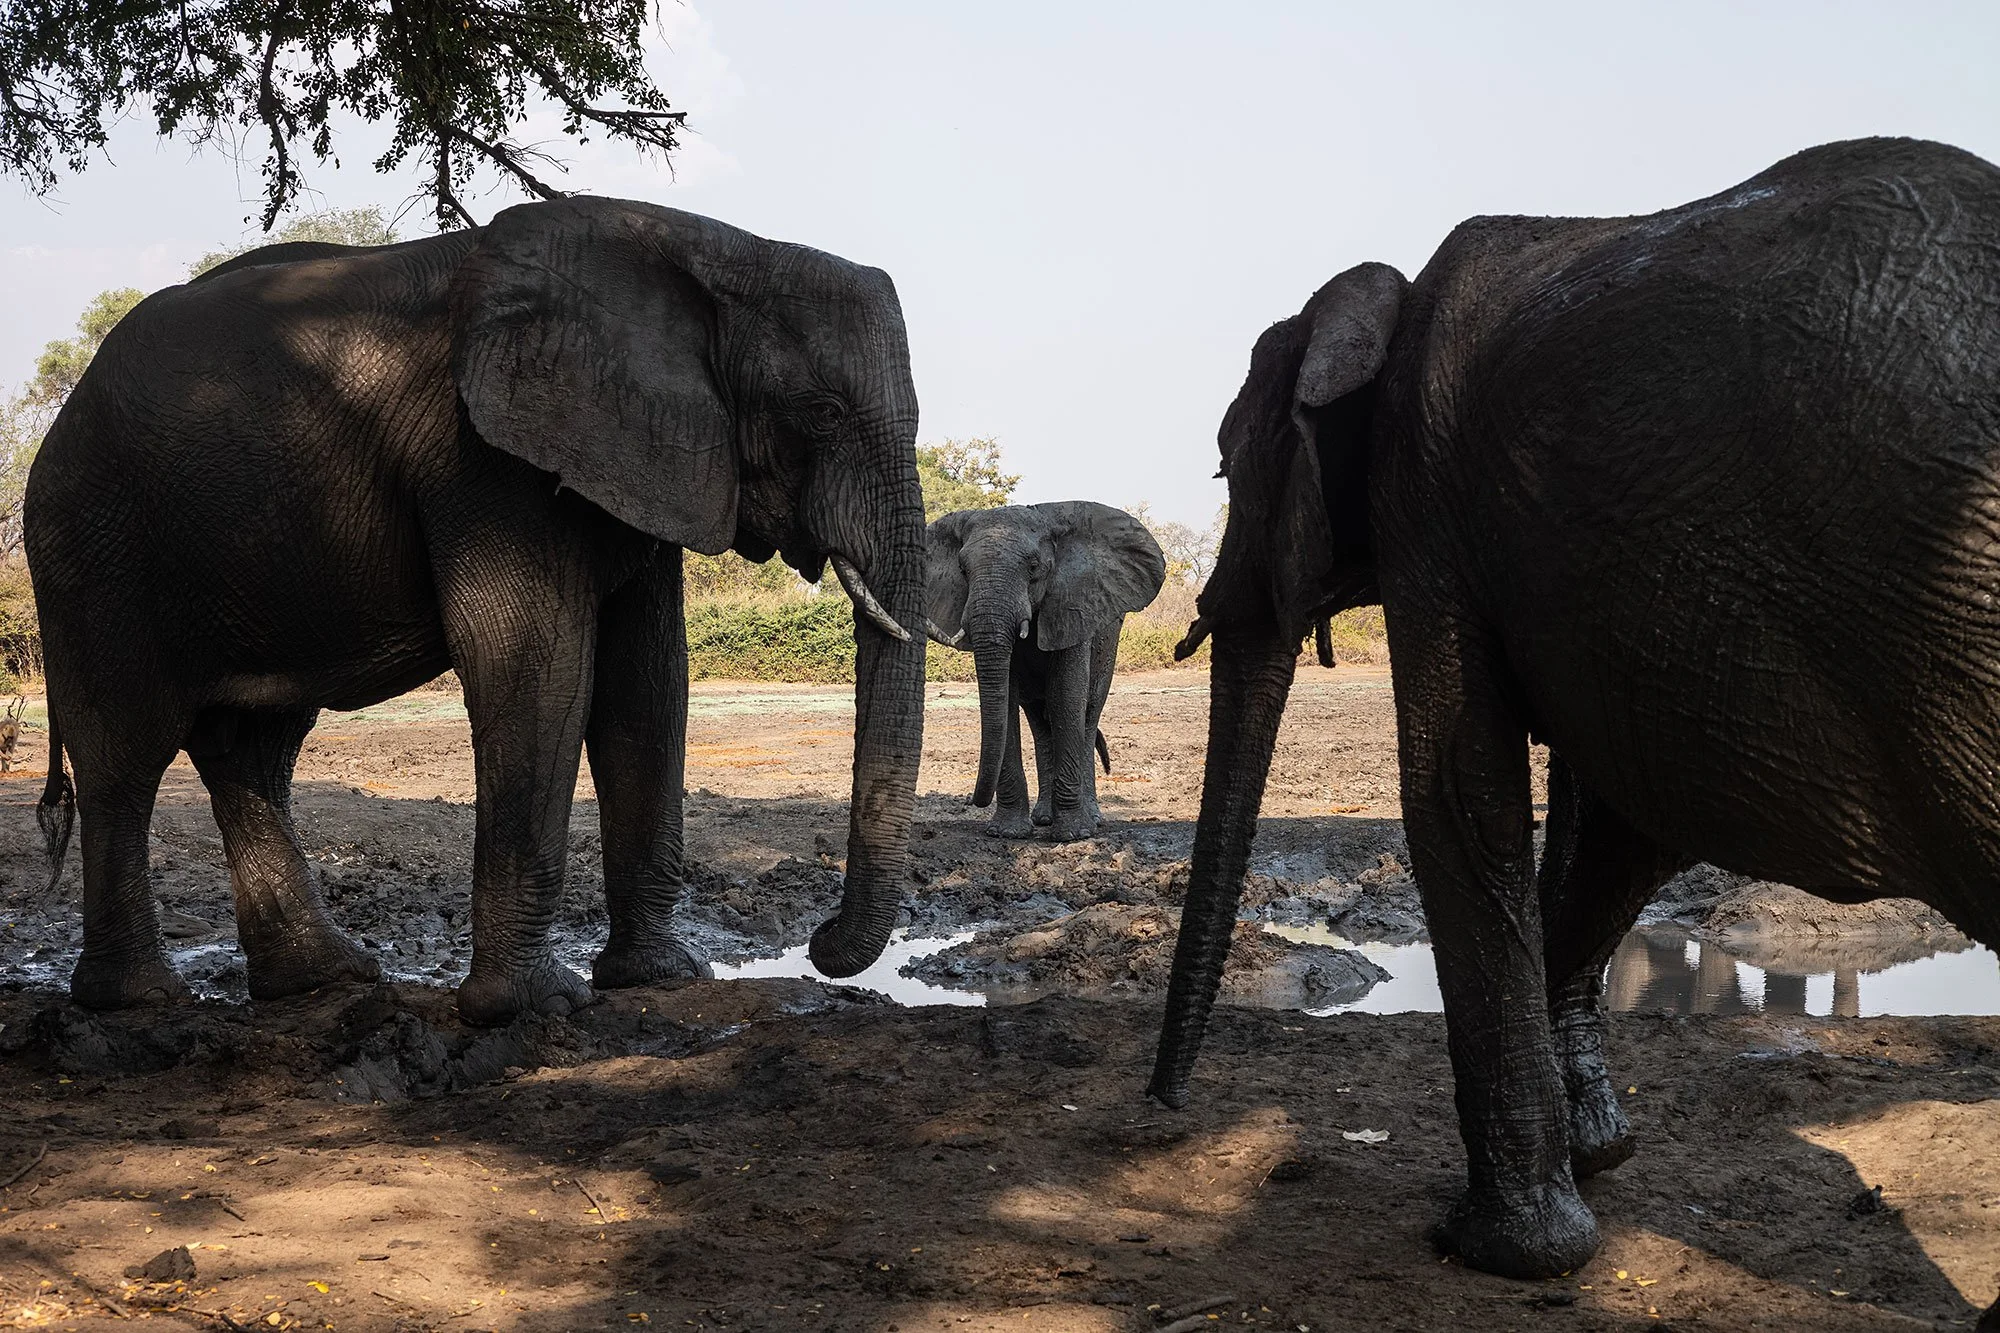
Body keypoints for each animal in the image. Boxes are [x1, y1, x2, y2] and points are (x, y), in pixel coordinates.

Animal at [25, 196, 929, 1025]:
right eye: (823, 411)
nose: (819, 941)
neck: (707, 244)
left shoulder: (645, 459)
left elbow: (648, 686)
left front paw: (662, 978)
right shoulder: (488, 459)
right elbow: (541, 667)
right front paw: (535, 1004)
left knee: (253, 749)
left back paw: (323, 977)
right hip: (97, 549)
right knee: (126, 756)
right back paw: (139, 999)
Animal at [924, 501, 1165, 841]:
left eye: (1034, 567)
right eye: (962, 569)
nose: (974, 800)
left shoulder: (1074, 604)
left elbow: (1066, 696)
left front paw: (1073, 834)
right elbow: (1007, 702)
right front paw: (1007, 833)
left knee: (1088, 713)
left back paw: (1092, 819)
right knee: (1039, 720)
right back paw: (1043, 818)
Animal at [1148, 137, 2000, 1287]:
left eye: (1228, 464)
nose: (1160, 1112)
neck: (1386, 309)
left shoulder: (1433, 511)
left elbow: (1463, 798)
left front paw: (1499, 1250)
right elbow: (1614, 822)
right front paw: (1597, 1157)